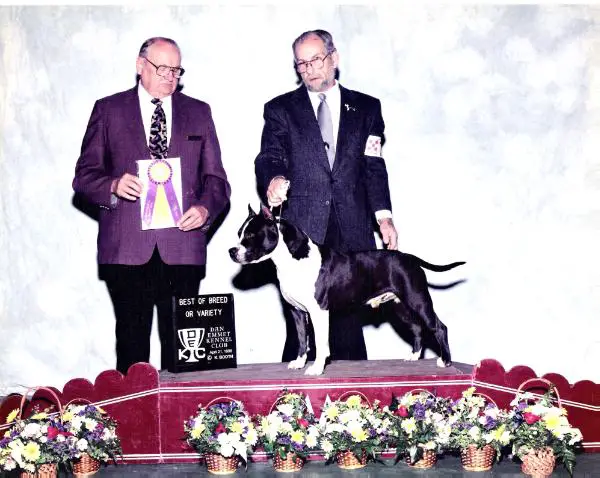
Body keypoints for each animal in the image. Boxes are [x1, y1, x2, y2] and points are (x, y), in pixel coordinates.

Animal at [229, 205, 465, 375]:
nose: (231, 251)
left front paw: (316, 369)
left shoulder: (319, 312)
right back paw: (413, 357)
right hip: (400, 307)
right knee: (416, 328)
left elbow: (320, 343)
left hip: (418, 300)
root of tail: (410, 258)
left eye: (250, 235)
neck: (293, 260)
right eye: (239, 233)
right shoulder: (297, 311)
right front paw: (298, 363)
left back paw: (445, 361)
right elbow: (303, 340)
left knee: (439, 327)